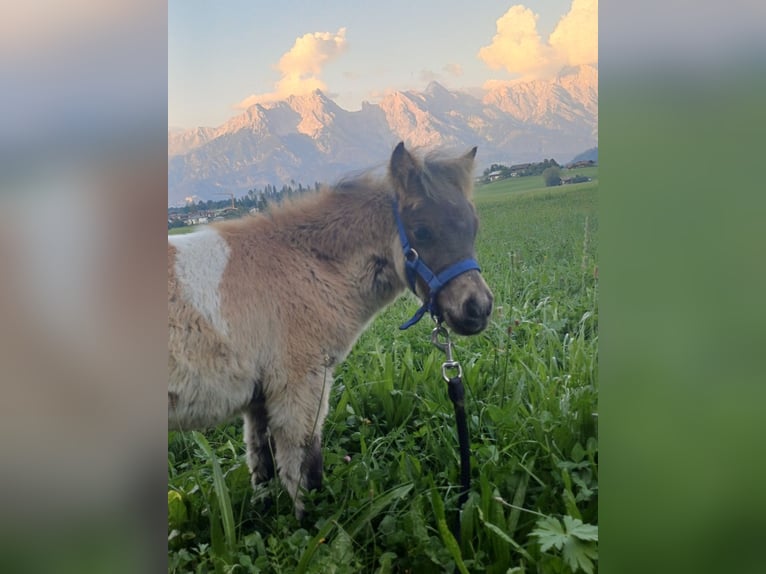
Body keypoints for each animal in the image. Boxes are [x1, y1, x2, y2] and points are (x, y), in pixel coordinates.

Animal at [168, 142, 496, 520]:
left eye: (474, 226)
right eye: (423, 230)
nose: (478, 308)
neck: (300, 263)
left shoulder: (260, 396)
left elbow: (262, 465)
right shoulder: (300, 383)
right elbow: (304, 468)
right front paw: (311, 525)